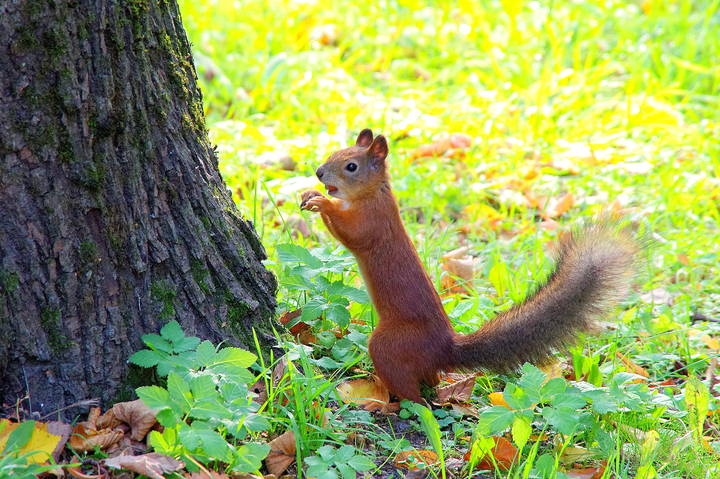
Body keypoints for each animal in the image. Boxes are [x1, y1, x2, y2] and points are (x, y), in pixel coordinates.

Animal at [300, 129, 637, 403]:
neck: (372, 193)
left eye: (351, 166)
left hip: (388, 345)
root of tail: (444, 350)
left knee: (416, 398)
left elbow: (352, 235)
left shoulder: (373, 221)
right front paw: (309, 194)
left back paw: (385, 401)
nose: (318, 173)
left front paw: (322, 202)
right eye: (334, 154)